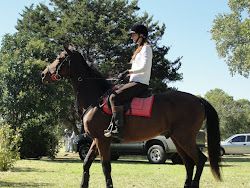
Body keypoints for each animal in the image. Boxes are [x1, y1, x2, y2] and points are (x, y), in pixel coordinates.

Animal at [41, 46, 223, 188]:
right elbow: (86, 163)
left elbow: (106, 167)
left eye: (59, 58)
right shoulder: (96, 140)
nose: (43, 74)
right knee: (189, 163)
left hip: (184, 138)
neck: (97, 97)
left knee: (200, 160)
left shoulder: (102, 140)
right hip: (178, 140)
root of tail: (198, 99)